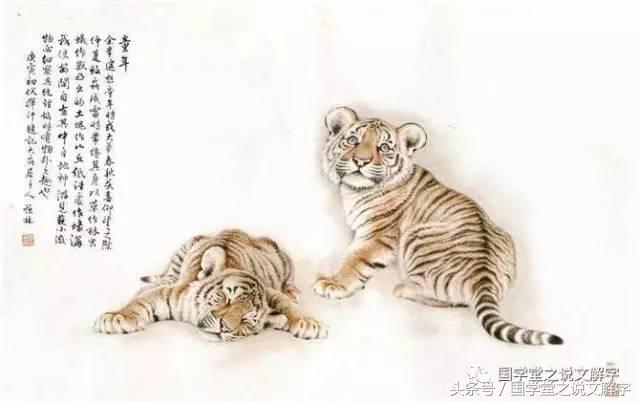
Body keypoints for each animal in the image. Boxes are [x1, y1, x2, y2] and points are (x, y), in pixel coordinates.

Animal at [94, 229, 328, 342]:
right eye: (228, 298)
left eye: (247, 319)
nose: (224, 327)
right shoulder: (169, 294)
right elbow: (140, 302)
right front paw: (116, 318)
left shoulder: (270, 291)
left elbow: (286, 304)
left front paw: (307, 323)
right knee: (166, 276)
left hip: (282, 258)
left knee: (289, 278)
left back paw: (292, 290)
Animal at [313, 106, 563, 345]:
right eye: (353, 140)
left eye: (383, 147)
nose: (361, 162)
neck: (355, 189)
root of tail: (483, 276)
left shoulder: (377, 235)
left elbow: (354, 260)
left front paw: (333, 284)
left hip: (416, 235)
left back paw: (403, 288)